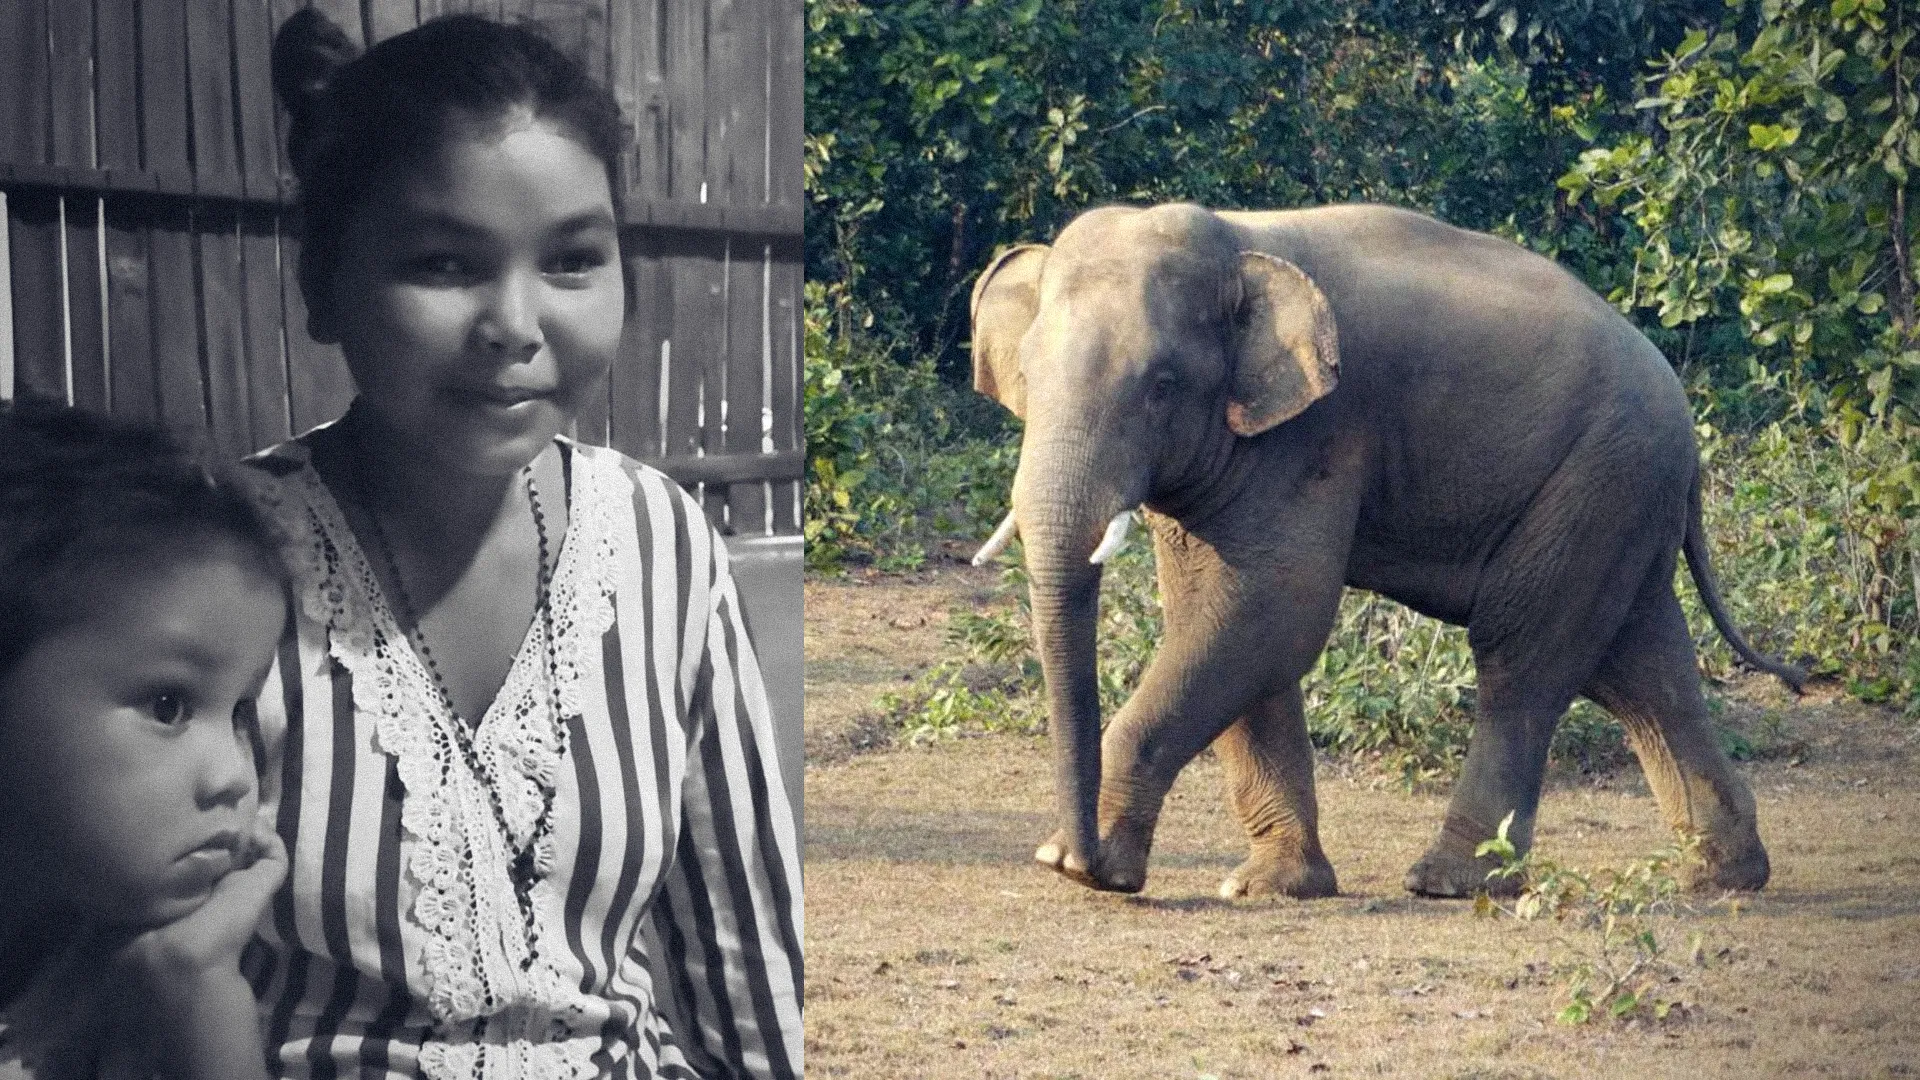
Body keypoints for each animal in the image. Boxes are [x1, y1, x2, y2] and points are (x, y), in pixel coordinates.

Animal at [967, 201, 1803, 900]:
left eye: (1162, 385)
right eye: (1028, 376)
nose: (1072, 855)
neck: (1237, 245)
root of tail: (1682, 415)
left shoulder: (1314, 434)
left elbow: (1270, 614)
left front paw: (1088, 869)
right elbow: (1233, 625)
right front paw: (1272, 887)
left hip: (1600, 478)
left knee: (1523, 659)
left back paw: (1449, 882)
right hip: (1620, 496)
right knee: (1638, 666)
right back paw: (1720, 876)